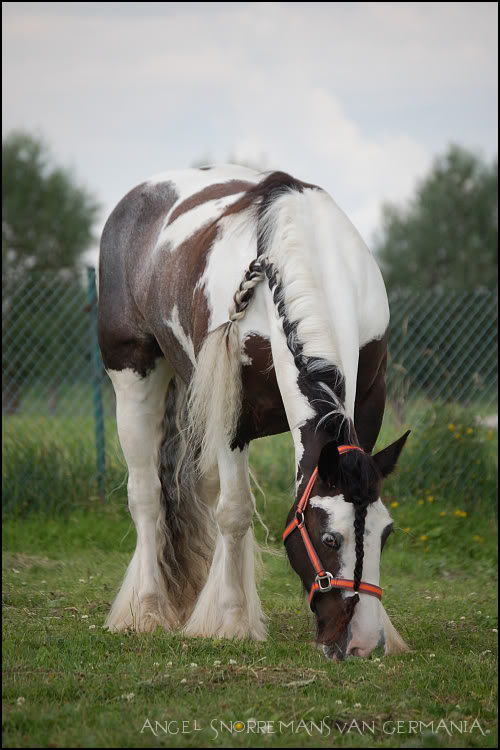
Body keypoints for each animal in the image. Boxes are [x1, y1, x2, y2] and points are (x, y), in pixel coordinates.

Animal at [96, 166, 410, 664]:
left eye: (387, 534)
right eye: (329, 539)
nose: (360, 642)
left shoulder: (368, 405)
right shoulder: (233, 417)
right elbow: (235, 512)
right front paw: (230, 620)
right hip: (133, 378)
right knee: (147, 496)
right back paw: (145, 610)